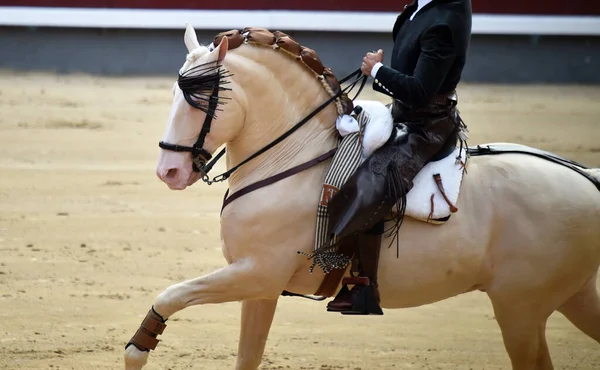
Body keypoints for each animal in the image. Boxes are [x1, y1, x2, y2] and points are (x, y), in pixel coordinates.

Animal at [123, 24, 600, 368]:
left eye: (201, 100)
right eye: (175, 93)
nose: (168, 171)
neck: (295, 159)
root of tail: (587, 178)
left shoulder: (257, 273)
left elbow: (170, 295)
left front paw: (138, 348)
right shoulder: (260, 288)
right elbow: (246, 357)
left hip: (520, 310)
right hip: (570, 297)